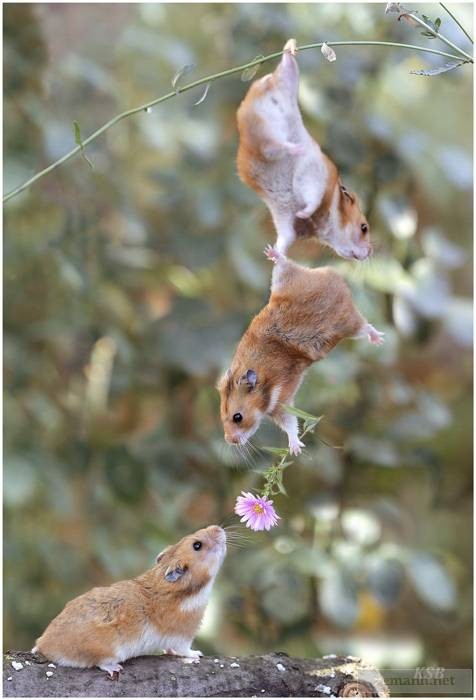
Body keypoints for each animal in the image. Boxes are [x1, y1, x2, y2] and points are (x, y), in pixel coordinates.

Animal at [32, 528, 227, 676]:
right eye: (197, 545)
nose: (219, 528)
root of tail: (44, 644)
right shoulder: (183, 636)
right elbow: (186, 650)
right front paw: (197, 654)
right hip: (107, 650)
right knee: (99, 662)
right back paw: (115, 668)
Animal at [219, 246, 384, 454]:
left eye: (237, 417)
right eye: (221, 415)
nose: (229, 440)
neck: (263, 383)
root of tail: (335, 278)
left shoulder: (282, 401)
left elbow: (290, 424)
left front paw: (295, 450)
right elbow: (290, 424)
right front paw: (295, 450)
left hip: (347, 322)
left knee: (365, 327)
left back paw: (379, 339)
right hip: (284, 281)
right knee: (286, 264)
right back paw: (272, 253)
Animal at [237, 37, 372, 260]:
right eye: (364, 228)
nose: (370, 253)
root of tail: (268, 86)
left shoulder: (285, 217)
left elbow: (285, 238)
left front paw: (271, 253)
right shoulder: (314, 179)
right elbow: (311, 201)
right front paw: (303, 213)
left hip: (284, 87)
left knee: (287, 66)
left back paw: (290, 48)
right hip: (271, 125)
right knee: (274, 146)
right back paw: (295, 148)